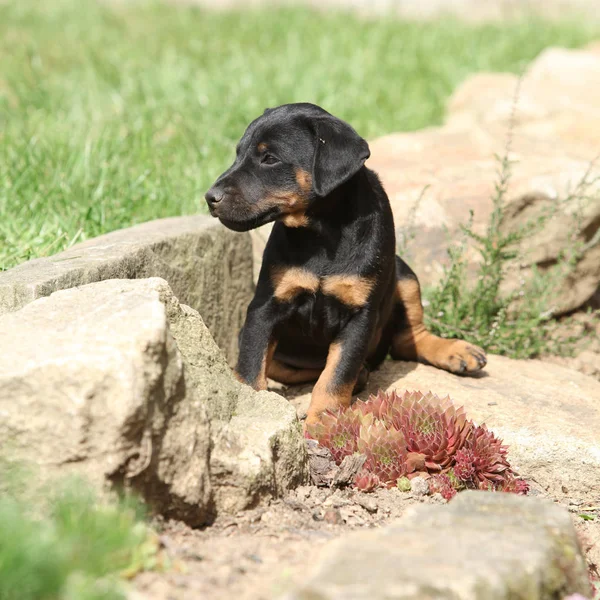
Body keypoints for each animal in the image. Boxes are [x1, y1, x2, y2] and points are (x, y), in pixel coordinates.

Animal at [204, 103, 486, 424]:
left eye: (270, 158)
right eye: (238, 154)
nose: (210, 197)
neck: (321, 232)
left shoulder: (360, 316)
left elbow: (336, 375)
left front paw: (322, 421)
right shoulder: (265, 305)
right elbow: (253, 365)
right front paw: (255, 406)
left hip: (404, 274)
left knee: (407, 340)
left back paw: (455, 350)